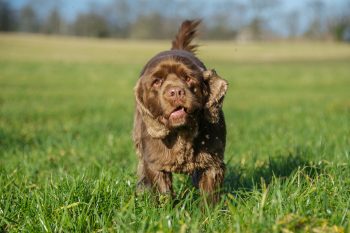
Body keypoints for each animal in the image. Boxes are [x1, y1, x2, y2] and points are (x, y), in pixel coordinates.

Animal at [133, 20, 228, 202]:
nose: (176, 92)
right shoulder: (156, 164)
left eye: (188, 78)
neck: (182, 133)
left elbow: (209, 196)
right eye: (157, 81)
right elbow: (163, 194)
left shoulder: (213, 162)